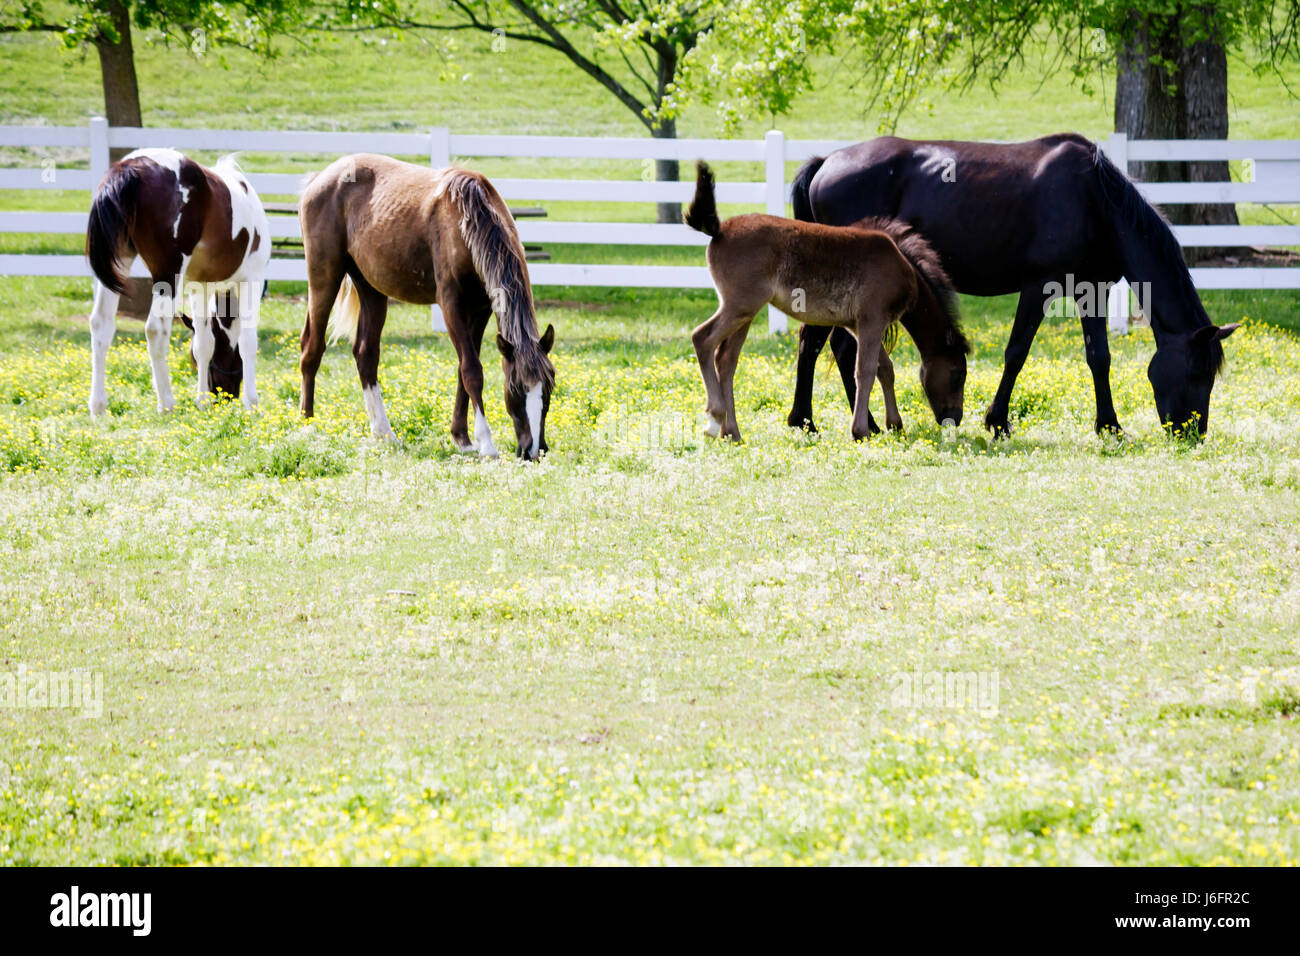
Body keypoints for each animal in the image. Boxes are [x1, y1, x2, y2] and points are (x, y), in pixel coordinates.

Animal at [85, 147, 269, 413]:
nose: (224, 396)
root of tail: (132, 168)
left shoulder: (199, 287)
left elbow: (204, 344)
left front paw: (202, 401)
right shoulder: (252, 280)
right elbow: (247, 342)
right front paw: (252, 403)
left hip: (116, 265)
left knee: (101, 324)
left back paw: (98, 406)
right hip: (167, 274)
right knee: (154, 329)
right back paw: (166, 403)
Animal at [297, 154, 553, 460]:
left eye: (549, 389)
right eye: (515, 389)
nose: (535, 451)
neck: (466, 221)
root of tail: (320, 178)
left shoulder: (481, 309)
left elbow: (464, 370)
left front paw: (462, 438)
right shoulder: (451, 305)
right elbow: (472, 370)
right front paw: (486, 444)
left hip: (372, 290)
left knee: (365, 354)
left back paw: (384, 433)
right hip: (324, 277)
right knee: (312, 348)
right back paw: (307, 425)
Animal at [686, 164, 972, 444]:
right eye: (958, 374)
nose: (954, 418)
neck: (902, 267)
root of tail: (719, 231)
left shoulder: (857, 325)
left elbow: (885, 368)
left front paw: (894, 424)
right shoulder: (872, 318)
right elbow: (866, 370)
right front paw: (861, 430)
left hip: (745, 314)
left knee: (726, 360)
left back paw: (732, 432)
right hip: (740, 306)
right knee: (702, 339)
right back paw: (714, 418)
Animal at [785, 132, 1242, 437]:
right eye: (1196, 371)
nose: (1192, 432)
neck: (1095, 201)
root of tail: (826, 160)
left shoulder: (1092, 289)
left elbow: (1099, 357)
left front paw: (1109, 425)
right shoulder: (1039, 286)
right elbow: (1016, 352)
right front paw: (997, 421)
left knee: (835, 346)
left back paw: (845, 422)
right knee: (819, 344)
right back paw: (812, 421)